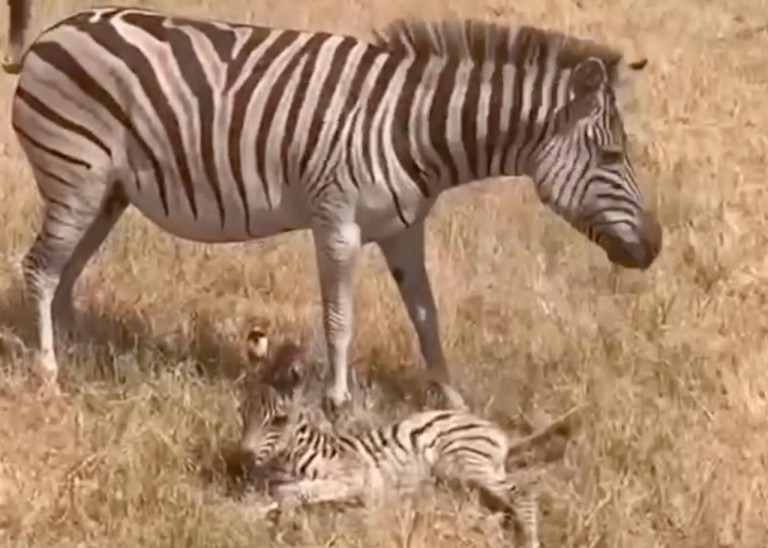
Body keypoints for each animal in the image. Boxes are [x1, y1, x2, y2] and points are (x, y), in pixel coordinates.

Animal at [1, 1, 660, 412]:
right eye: (611, 154)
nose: (655, 247)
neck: (410, 125)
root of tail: (50, 36)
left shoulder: (403, 230)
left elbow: (427, 316)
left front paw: (450, 398)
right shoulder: (336, 221)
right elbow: (340, 319)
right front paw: (339, 401)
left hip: (105, 194)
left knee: (64, 273)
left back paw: (74, 354)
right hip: (75, 176)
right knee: (39, 269)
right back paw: (50, 376)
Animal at [238, 330, 576, 548]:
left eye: (279, 421)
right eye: (243, 412)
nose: (243, 455)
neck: (289, 455)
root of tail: (494, 430)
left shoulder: (355, 474)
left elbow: (294, 493)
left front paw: (284, 519)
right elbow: (275, 497)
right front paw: (261, 517)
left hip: (463, 461)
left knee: (522, 494)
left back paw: (529, 540)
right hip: (460, 474)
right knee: (501, 501)